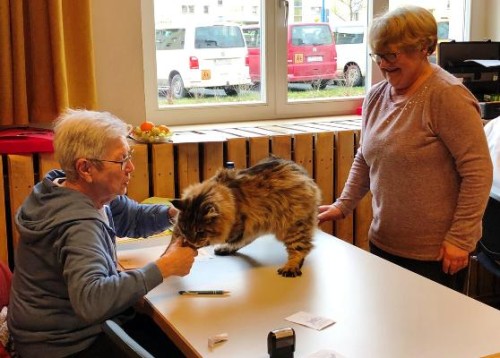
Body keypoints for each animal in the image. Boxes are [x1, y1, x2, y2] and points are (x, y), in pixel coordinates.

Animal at [171, 156, 320, 276]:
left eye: (200, 231)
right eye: (185, 229)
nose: (190, 241)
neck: (229, 194)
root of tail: (305, 176)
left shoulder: (237, 226)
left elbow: (219, 238)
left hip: (294, 226)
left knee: (301, 249)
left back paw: (290, 267)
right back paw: (224, 249)